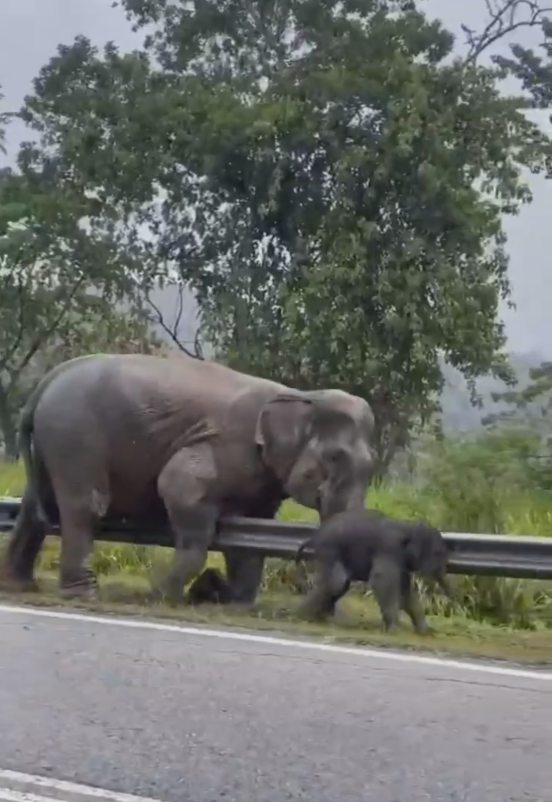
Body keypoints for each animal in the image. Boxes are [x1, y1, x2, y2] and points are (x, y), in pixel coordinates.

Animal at [1, 350, 376, 600]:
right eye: (335, 457)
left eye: (372, 465)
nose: (212, 585)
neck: (298, 395)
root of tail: (47, 381)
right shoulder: (227, 443)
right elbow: (178, 487)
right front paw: (162, 592)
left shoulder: (262, 479)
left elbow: (252, 529)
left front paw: (232, 600)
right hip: (75, 435)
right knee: (85, 506)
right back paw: (84, 594)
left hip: (54, 440)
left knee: (36, 507)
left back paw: (20, 585)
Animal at [296, 510, 450, 636]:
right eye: (438, 553)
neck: (409, 526)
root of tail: (314, 536)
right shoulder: (389, 549)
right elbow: (381, 582)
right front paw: (395, 631)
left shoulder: (401, 563)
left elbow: (405, 593)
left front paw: (426, 632)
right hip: (330, 549)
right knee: (337, 583)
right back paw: (305, 616)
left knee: (338, 585)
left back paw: (314, 617)